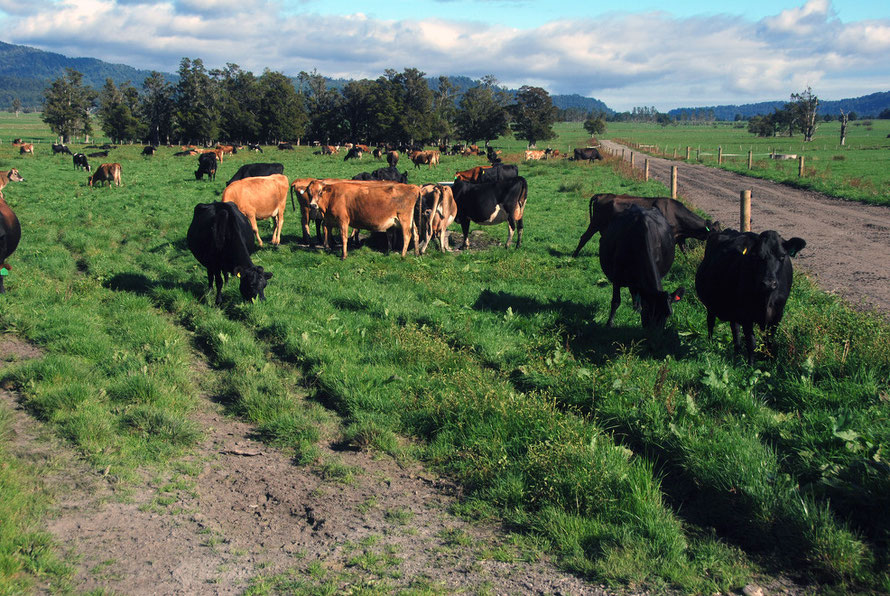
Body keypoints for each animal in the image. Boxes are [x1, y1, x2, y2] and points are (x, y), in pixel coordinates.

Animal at [572, 194, 720, 258]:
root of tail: (601, 195)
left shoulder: (680, 238)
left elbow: (685, 252)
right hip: (596, 223)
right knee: (584, 237)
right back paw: (574, 255)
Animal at [692, 230, 804, 366]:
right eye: (756, 256)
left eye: (782, 256)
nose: (769, 283)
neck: (765, 299)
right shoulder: (746, 315)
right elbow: (751, 342)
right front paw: (751, 365)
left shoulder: (777, 314)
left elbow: (769, 340)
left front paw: (768, 360)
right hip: (711, 305)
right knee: (711, 321)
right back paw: (711, 343)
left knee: (734, 328)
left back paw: (737, 351)